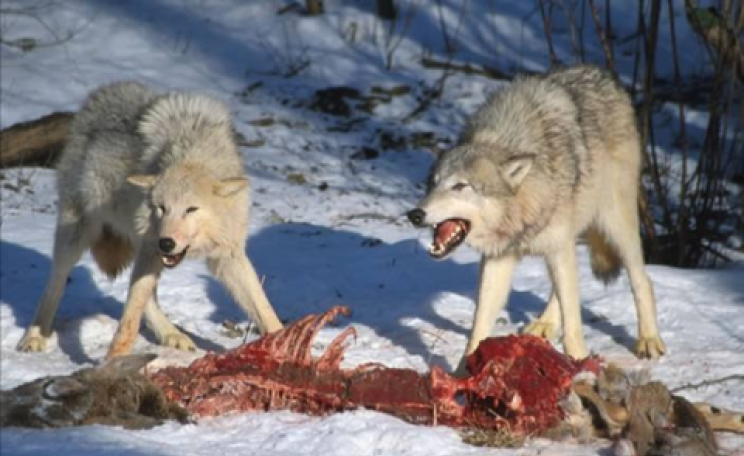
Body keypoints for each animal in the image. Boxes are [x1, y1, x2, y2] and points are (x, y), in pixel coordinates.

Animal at [17, 81, 283, 359]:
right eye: (161, 208)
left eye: (191, 209)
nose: (166, 243)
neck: (191, 152)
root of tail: (101, 94)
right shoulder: (150, 248)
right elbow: (129, 317)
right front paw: (113, 361)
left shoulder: (227, 255)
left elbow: (264, 308)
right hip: (77, 236)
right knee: (55, 284)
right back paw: (34, 336)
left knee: (146, 295)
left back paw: (171, 335)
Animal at [407, 65, 666, 370]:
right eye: (433, 184)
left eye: (460, 186)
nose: (415, 214)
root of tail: (604, 75)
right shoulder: (499, 259)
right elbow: (479, 325)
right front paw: (464, 371)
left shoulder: (557, 246)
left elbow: (573, 320)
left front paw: (580, 364)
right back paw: (544, 324)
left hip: (614, 225)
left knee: (642, 280)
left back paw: (648, 339)